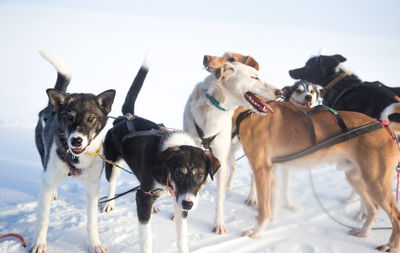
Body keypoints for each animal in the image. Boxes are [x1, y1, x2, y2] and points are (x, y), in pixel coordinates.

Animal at [101, 57, 220, 253]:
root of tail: (125, 117)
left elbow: (182, 238)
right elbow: (146, 238)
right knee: (112, 181)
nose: (189, 204)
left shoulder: (179, 200)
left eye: (200, 175)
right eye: (179, 172)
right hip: (112, 163)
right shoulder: (142, 197)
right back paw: (109, 204)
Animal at [239, 102, 398, 252]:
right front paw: (270, 220)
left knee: (396, 216)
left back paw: (391, 246)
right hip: (356, 179)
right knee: (373, 209)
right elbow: (272, 201)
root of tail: (385, 127)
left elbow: (263, 209)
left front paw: (257, 232)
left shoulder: (261, 169)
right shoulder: (271, 169)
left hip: (375, 184)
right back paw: (364, 232)